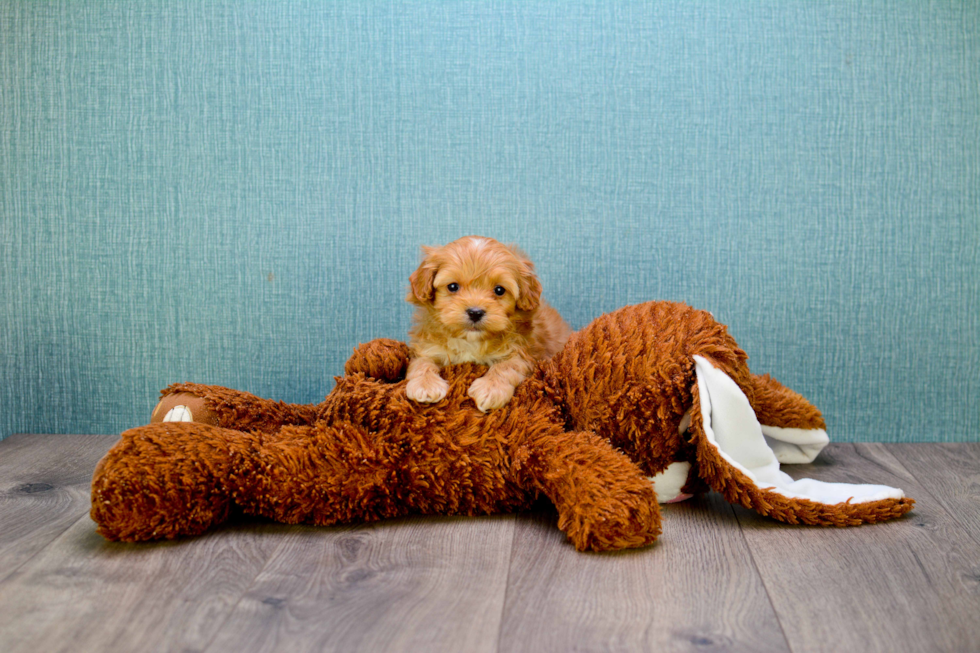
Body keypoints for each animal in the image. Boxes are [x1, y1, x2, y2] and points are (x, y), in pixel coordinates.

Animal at [406, 234, 576, 410]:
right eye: (452, 287)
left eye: (499, 290)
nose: (475, 312)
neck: (470, 341)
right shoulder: (427, 347)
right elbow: (421, 363)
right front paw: (425, 385)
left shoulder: (522, 353)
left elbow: (506, 367)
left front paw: (491, 388)